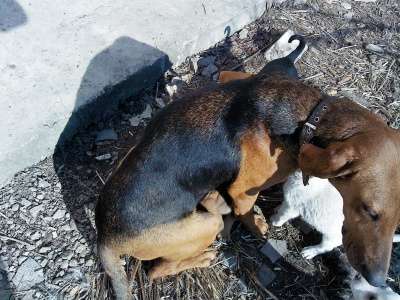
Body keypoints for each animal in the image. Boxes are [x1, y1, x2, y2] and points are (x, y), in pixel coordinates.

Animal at [96, 36, 400, 298]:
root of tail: (106, 236)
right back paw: (203, 255)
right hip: (205, 225)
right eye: (369, 211)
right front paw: (259, 226)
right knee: (157, 269)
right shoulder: (243, 192)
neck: (310, 118)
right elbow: (249, 216)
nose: (377, 280)